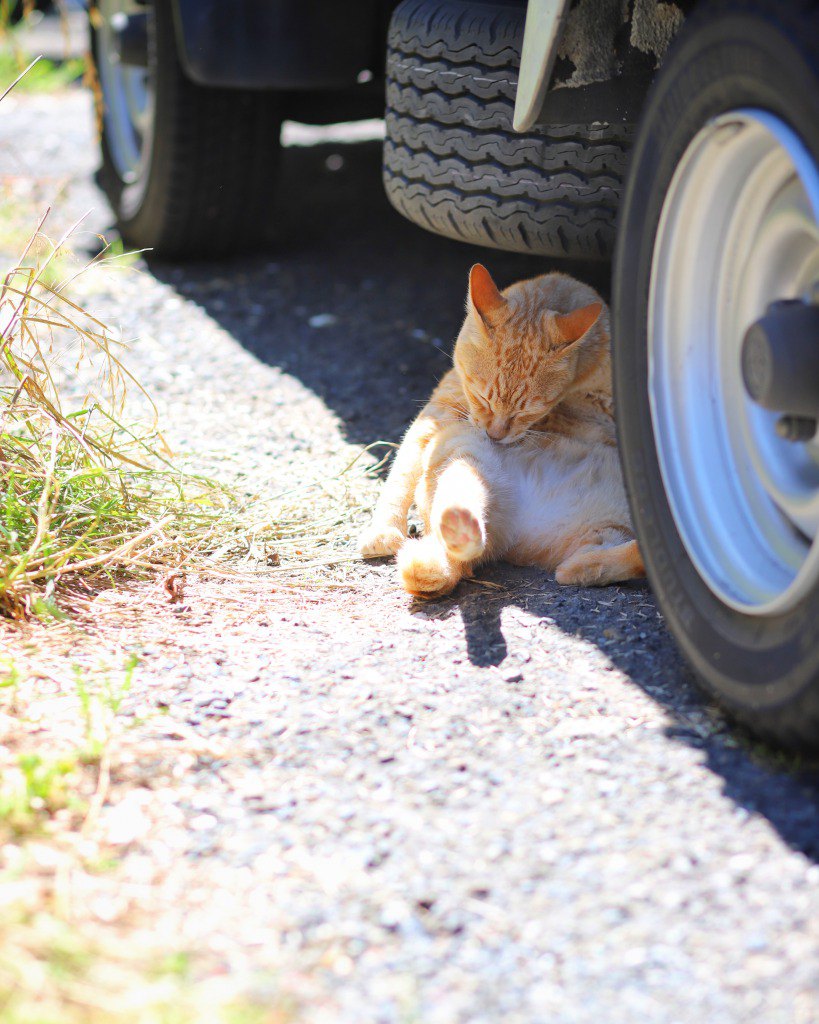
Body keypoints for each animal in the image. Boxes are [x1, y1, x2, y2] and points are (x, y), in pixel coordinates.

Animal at [362, 264, 642, 598]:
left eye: (528, 411)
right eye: (482, 398)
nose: (495, 436)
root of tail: (515, 535)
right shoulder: (439, 414)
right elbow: (400, 474)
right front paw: (382, 530)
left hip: (604, 533)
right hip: (462, 446)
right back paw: (461, 530)